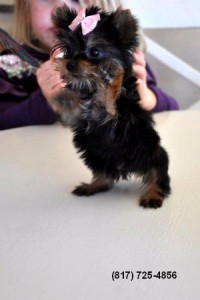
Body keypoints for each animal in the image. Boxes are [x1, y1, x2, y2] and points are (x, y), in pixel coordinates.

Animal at [48, 5, 170, 209]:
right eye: (68, 51)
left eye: (95, 52)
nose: (70, 64)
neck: (93, 90)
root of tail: (123, 168)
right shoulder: (80, 120)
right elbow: (73, 112)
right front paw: (65, 98)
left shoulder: (117, 113)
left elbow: (110, 95)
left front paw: (109, 74)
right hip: (97, 158)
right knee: (104, 177)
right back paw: (93, 185)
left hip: (150, 151)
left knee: (157, 172)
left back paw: (153, 194)